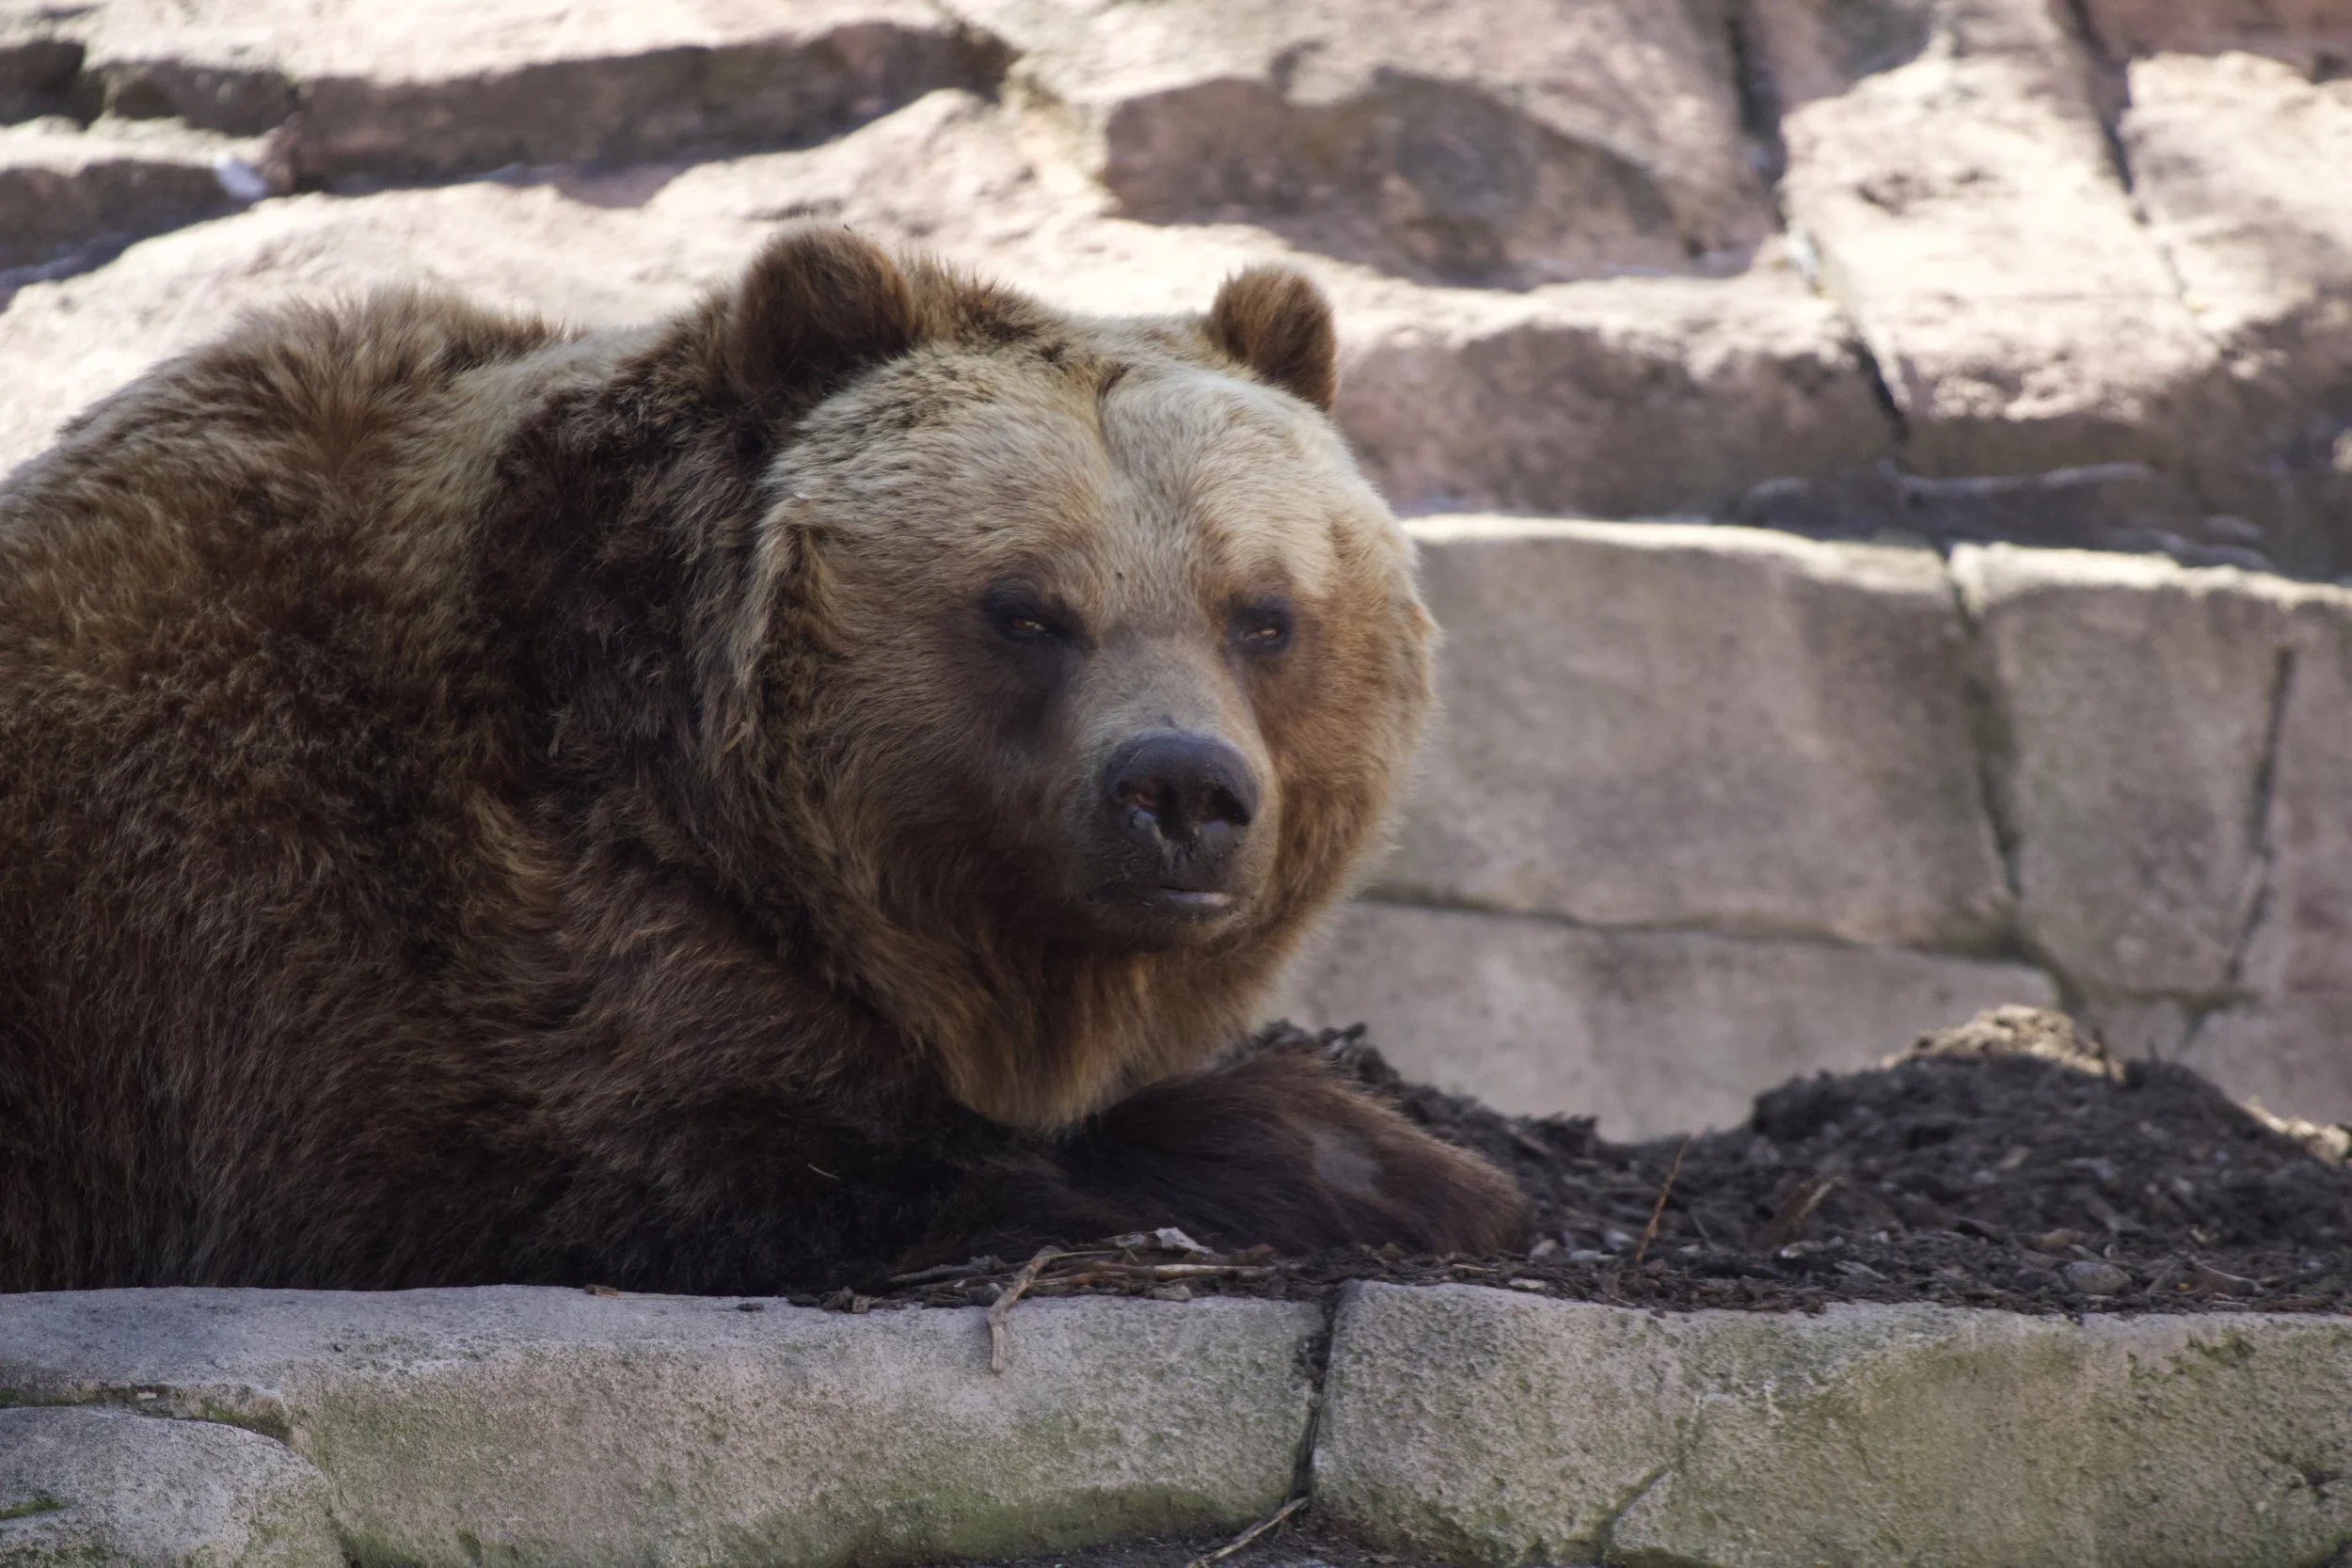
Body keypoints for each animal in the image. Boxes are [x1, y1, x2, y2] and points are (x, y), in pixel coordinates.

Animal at [0, 226, 1526, 1293]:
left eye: (1261, 612)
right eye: (1027, 607)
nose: (1181, 791)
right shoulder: (337, 949)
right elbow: (678, 1155)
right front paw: (1379, 1160)